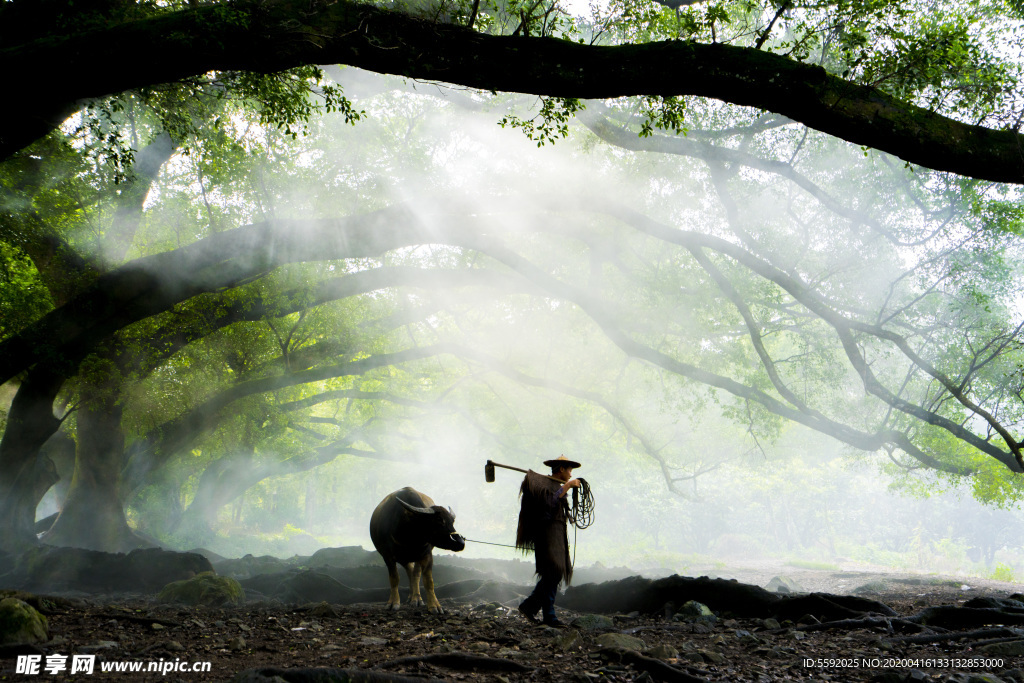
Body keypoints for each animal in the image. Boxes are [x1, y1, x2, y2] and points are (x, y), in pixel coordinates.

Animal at [368, 485, 464, 614]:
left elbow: (428, 581)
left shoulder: (427, 555)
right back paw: (410, 597)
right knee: (410, 572)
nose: (461, 542)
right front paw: (393, 603)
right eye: (439, 520)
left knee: (415, 574)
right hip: (403, 558)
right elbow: (394, 579)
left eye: (452, 521)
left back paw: (416, 598)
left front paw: (434, 606)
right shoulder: (387, 556)